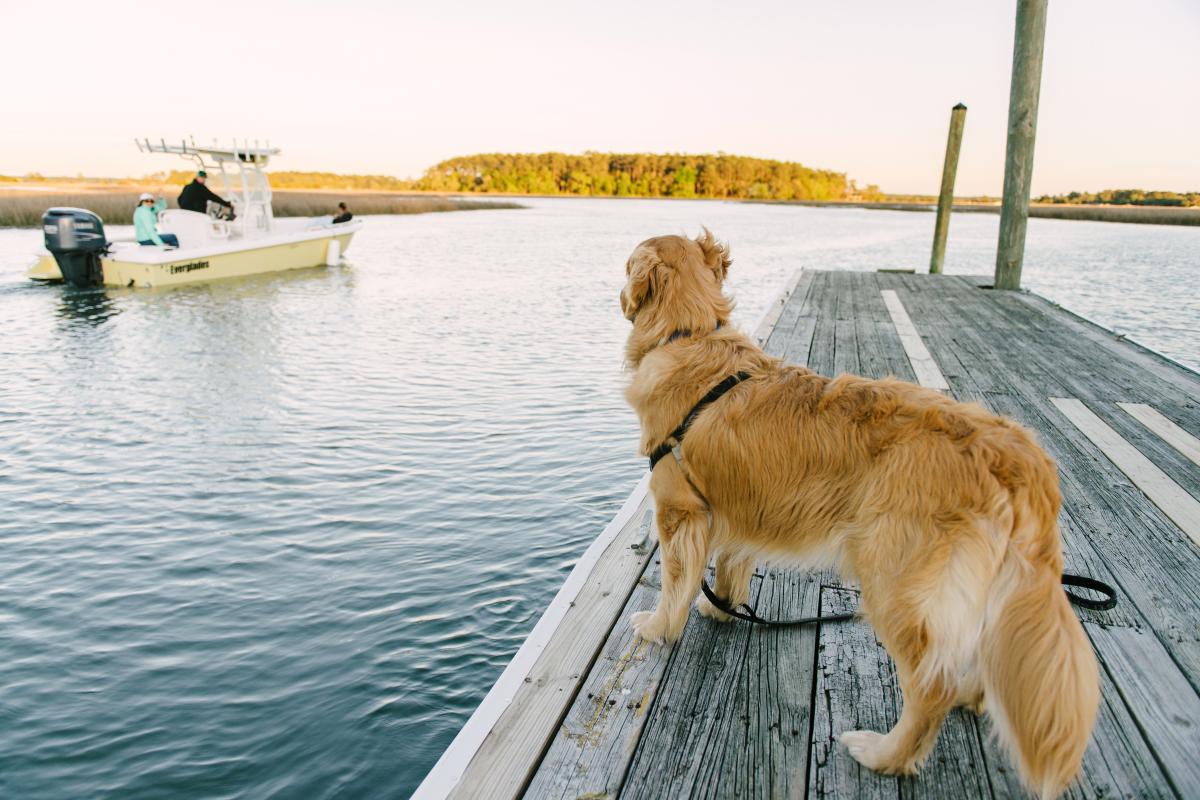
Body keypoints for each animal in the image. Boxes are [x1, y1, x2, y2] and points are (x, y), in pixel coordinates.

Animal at [624, 227, 1099, 796]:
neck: (688, 334)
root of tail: (1018, 453)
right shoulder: (741, 508)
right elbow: (732, 565)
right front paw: (722, 608)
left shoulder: (680, 511)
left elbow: (675, 582)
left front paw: (657, 626)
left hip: (894, 582)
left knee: (930, 687)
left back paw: (884, 753)